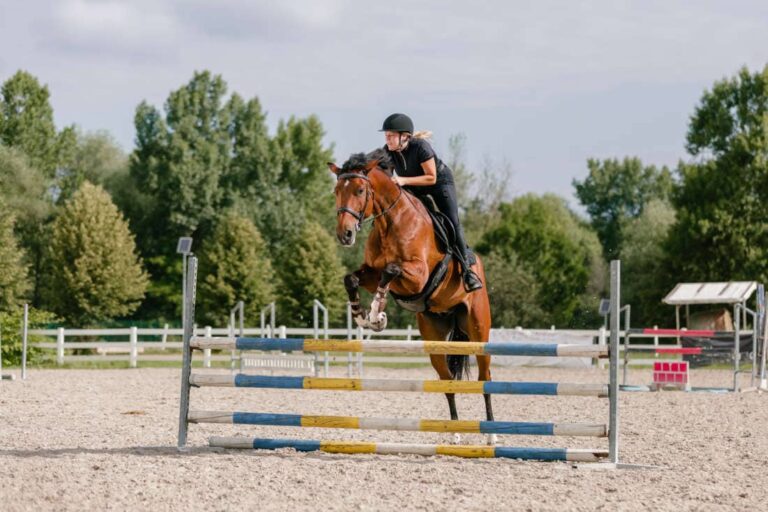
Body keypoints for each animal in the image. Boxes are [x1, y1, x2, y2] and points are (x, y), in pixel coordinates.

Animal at [328, 149, 495, 439]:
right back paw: (454, 433)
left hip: (478, 330)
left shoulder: (418, 276)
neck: (390, 222)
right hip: (434, 336)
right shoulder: (370, 273)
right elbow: (352, 278)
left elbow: (391, 270)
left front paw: (376, 313)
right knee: (446, 381)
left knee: (485, 379)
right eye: (337, 190)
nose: (345, 234)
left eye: (360, 190)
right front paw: (362, 316)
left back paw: (492, 434)